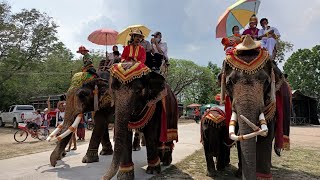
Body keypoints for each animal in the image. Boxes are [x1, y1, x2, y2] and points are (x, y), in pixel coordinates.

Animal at [218, 34, 290, 179]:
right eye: (230, 82)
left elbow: (267, 133)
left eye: (266, 81)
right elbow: (239, 132)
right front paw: (239, 173)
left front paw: (262, 176)